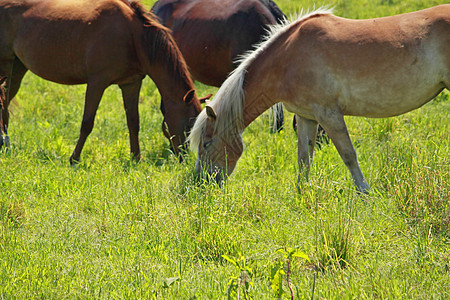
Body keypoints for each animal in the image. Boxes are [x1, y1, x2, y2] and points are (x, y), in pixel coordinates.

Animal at [0, 0, 203, 164]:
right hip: (6, 64)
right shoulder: (97, 82)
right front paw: (74, 159)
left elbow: (133, 122)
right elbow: (87, 123)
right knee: (3, 103)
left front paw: (136, 158)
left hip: (17, 67)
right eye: (188, 125)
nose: (184, 159)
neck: (132, 35)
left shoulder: (131, 83)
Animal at [188, 5, 448, 193]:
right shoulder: (306, 117)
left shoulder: (328, 114)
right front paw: (302, 194)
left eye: (207, 143)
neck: (288, 59)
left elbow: (348, 155)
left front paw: (364, 192)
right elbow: (304, 158)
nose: (201, 183)